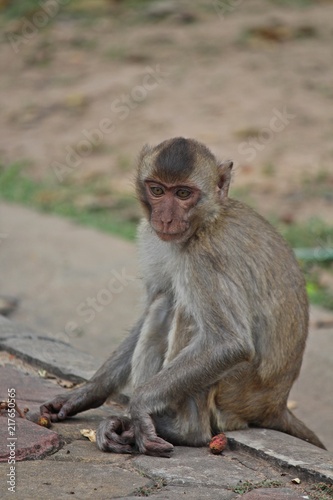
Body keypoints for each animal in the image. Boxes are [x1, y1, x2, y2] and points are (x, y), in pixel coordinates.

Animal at [40, 138, 324, 458]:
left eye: (184, 194)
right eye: (157, 190)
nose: (164, 218)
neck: (205, 222)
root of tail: (275, 404)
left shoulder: (205, 258)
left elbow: (229, 343)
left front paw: (139, 406)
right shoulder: (152, 236)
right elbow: (151, 307)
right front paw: (86, 393)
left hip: (234, 393)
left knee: (186, 310)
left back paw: (182, 430)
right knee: (164, 303)